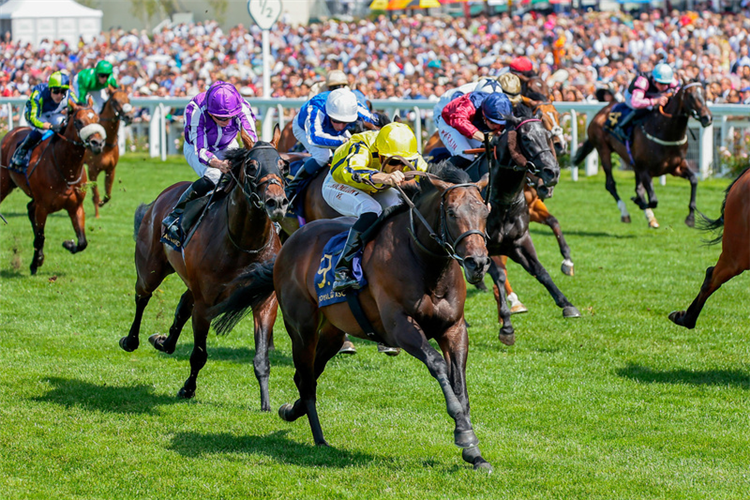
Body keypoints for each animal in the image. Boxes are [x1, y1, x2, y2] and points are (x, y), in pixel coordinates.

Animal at [0, 99, 107, 276]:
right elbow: (40, 236)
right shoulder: (43, 207)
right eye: (79, 122)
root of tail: (12, 132)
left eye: (97, 119)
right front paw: (36, 262)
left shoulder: (75, 206)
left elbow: (82, 242)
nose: (97, 144)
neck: (66, 168)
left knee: (30, 208)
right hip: (4, 184)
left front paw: (68, 244)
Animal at [119, 133, 290, 410]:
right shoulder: (205, 305)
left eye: (284, 165)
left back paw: (164, 342)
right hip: (151, 269)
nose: (277, 202)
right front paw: (188, 389)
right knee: (142, 296)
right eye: (251, 166)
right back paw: (130, 340)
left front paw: (266, 404)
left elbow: (262, 357)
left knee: (182, 304)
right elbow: (199, 354)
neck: (242, 242)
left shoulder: (264, 300)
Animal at [212, 163, 496, 468]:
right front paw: (464, 435)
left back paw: (292, 410)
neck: (427, 266)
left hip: (334, 332)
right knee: (306, 379)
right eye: (452, 213)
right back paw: (319, 438)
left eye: (485, 211)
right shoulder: (400, 327)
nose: (478, 263)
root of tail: (289, 243)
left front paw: (474, 452)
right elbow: (438, 366)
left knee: (307, 374)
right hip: (302, 329)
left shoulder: (454, 329)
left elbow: (460, 383)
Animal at [576, 82, 716, 229]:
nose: (707, 118)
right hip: (603, 150)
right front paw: (638, 202)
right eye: (691, 96)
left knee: (638, 188)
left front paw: (690, 217)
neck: (664, 131)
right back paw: (625, 213)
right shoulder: (645, 170)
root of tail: (603, 110)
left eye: (705, 94)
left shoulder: (676, 167)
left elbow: (694, 180)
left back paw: (650, 217)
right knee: (610, 184)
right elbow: (653, 200)